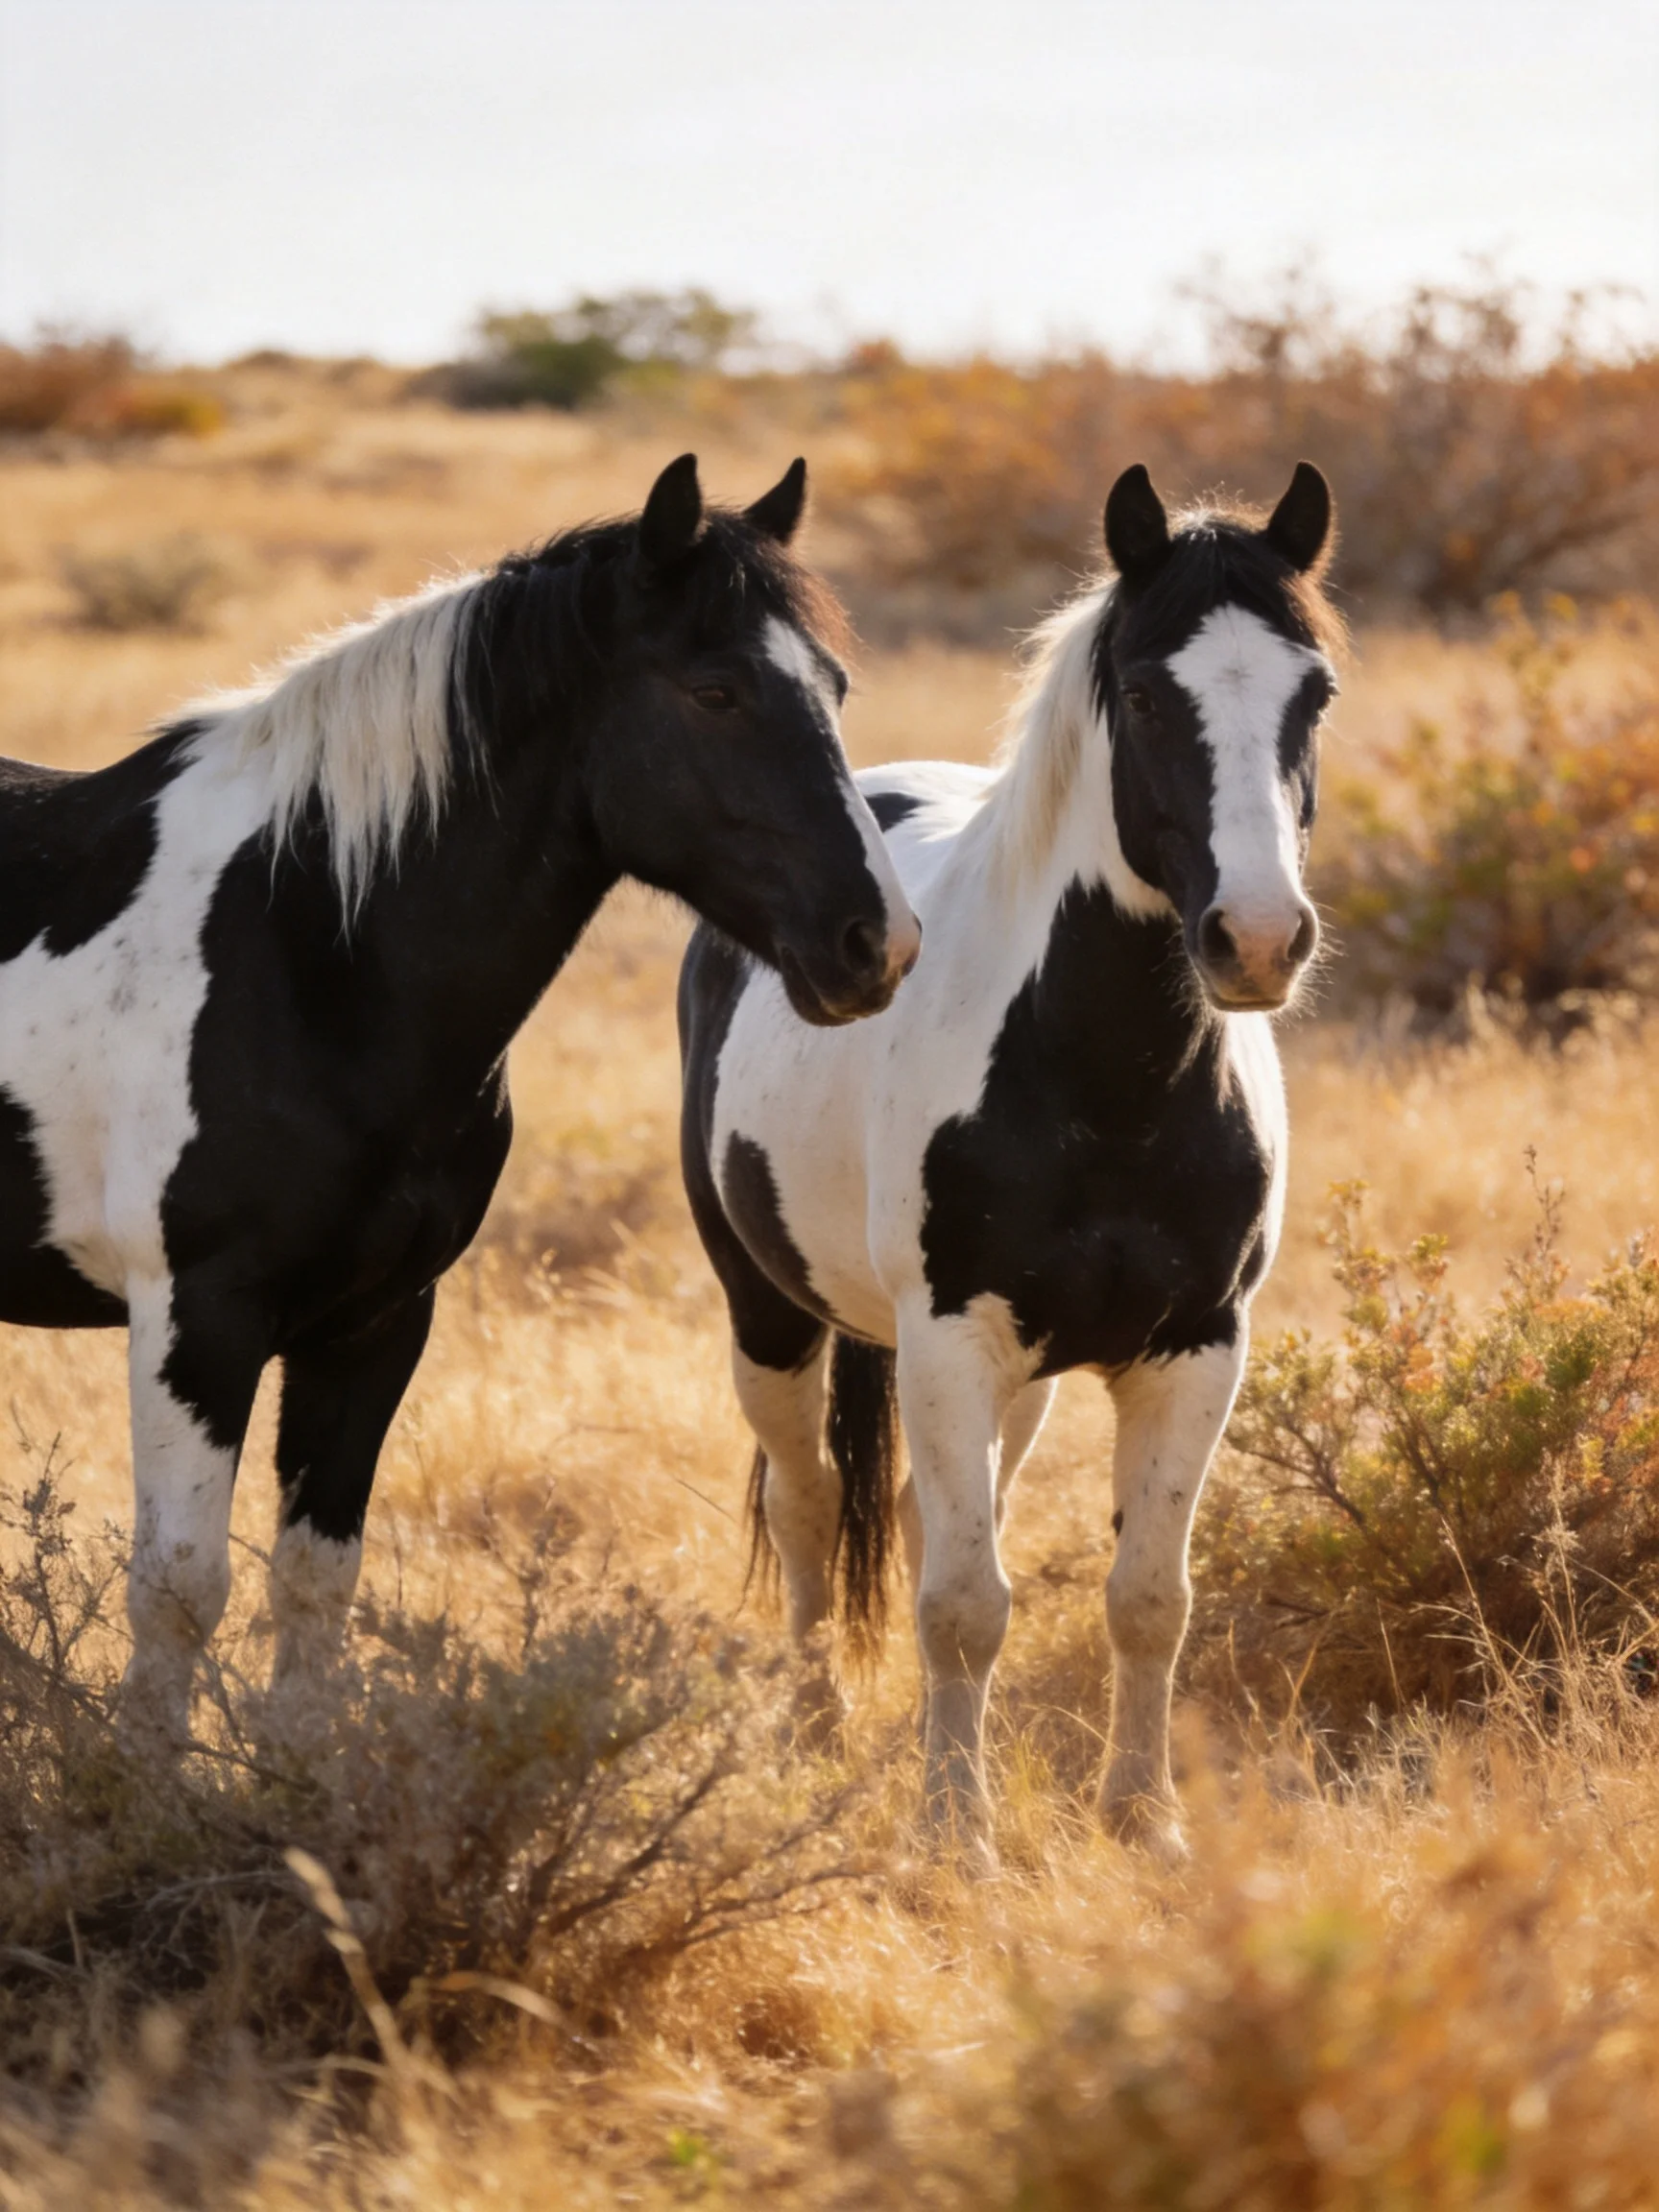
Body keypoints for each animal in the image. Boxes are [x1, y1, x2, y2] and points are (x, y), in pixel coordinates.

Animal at [0, 453, 920, 1745]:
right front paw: (138, 1791)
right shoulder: (198, 1317)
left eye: (833, 686)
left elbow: (311, 1585)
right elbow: (179, 1594)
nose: (875, 946)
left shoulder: (376, 1322)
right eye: (716, 692)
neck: (306, 943)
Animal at [679, 460, 1339, 1856]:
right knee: (812, 1508)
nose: (1258, 941)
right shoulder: (948, 1336)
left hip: (1019, 1381)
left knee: (914, 1517)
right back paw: (814, 1733)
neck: (1108, 1082)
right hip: (771, 1315)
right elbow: (962, 1606)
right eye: (1143, 694)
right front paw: (954, 1836)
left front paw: (1144, 1819)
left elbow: (1146, 1598)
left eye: (1315, 692)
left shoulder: (1195, 1347)